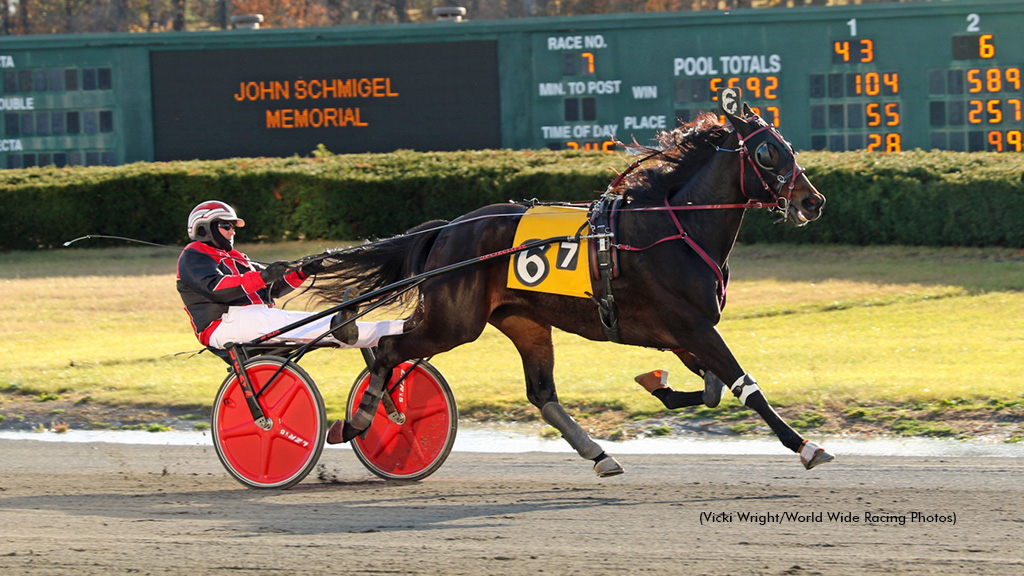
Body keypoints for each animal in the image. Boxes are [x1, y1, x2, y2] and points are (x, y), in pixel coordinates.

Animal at [317, 105, 831, 473]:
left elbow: (712, 390)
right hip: (455, 322)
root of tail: (448, 229)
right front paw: (806, 446)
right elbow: (744, 386)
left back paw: (600, 455)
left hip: (521, 321)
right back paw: (358, 418)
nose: (814, 201)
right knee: (390, 348)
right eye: (766, 152)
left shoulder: (684, 333)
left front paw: (657, 383)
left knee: (540, 393)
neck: (674, 229)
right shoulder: (692, 325)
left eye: (786, 145)